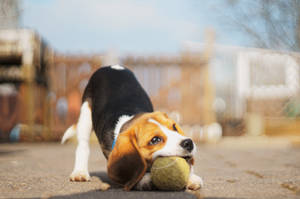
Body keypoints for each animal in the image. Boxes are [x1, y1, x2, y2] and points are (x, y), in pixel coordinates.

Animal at [61, 65, 203, 191]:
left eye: (174, 126)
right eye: (155, 140)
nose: (188, 143)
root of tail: (110, 66)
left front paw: (191, 177)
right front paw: (144, 180)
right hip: (85, 114)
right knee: (83, 145)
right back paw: (80, 172)